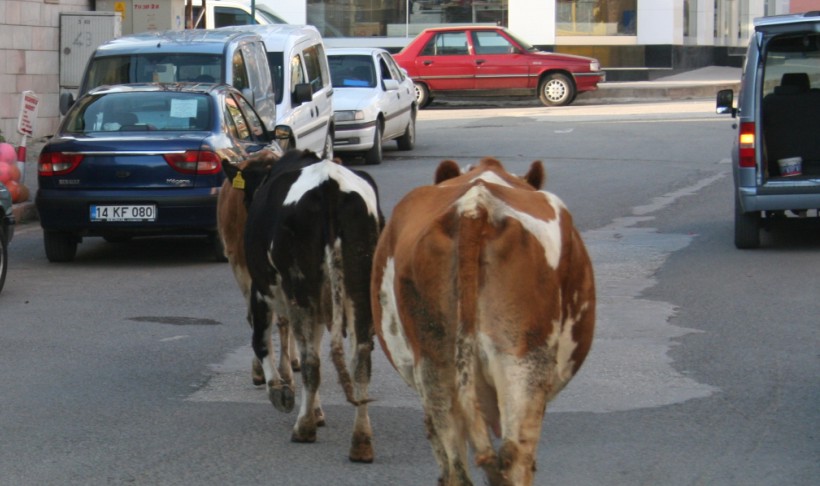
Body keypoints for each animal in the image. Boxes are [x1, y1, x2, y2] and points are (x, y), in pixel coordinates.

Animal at [219, 150, 382, 462]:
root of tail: (329, 185)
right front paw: (316, 410)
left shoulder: (261, 288)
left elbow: (260, 339)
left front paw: (279, 391)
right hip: (358, 288)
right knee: (360, 360)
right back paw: (361, 441)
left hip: (301, 289)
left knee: (310, 360)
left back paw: (304, 427)